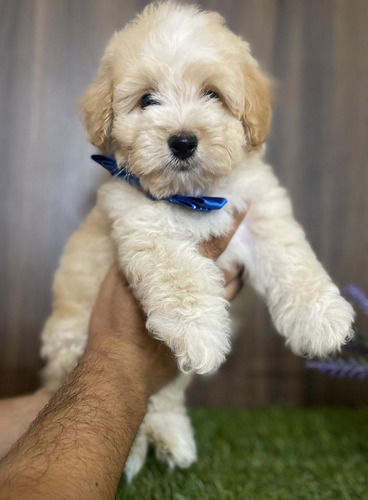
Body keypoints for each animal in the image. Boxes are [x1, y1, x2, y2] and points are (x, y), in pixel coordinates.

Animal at [40, 1, 354, 482]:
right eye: (147, 100)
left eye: (213, 95)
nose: (183, 141)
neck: (194, 196)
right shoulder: (141, 223)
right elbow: (180, 274)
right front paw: (201, 332)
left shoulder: (259, 210)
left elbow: (291, 256)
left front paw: (321, 320)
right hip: (70, 340)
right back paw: (135, 451)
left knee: (165, 394)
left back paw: (172, 440)